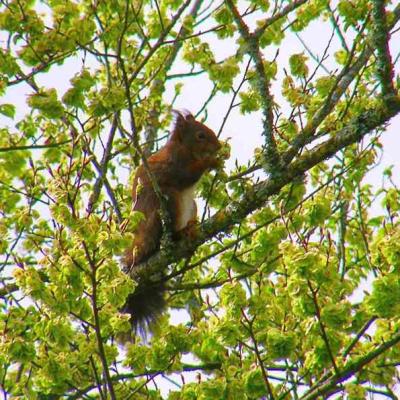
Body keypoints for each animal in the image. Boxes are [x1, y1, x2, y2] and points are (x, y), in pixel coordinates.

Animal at [122, 110, 222, 334]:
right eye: (201, 135)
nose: (219, 146)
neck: (185, 149)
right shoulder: (175, 164)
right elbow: (187, 175)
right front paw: (211, 162)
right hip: (170, 200)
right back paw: (179, 234)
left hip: (191, 205)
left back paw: (191, 228)